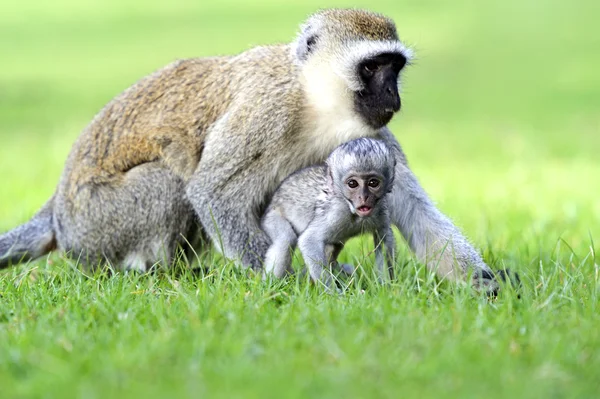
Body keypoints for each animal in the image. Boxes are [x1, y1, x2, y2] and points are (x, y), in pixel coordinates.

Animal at [262, 139, 394, 290]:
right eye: (352, 183)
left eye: (373, 183)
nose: (364, 197)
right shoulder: (336, 212)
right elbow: (309, 241)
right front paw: (333, 293)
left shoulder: (381, 210)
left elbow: (384, 239)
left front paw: (386, 287)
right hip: (272, 217)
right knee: (285, 240)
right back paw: (272, 287)